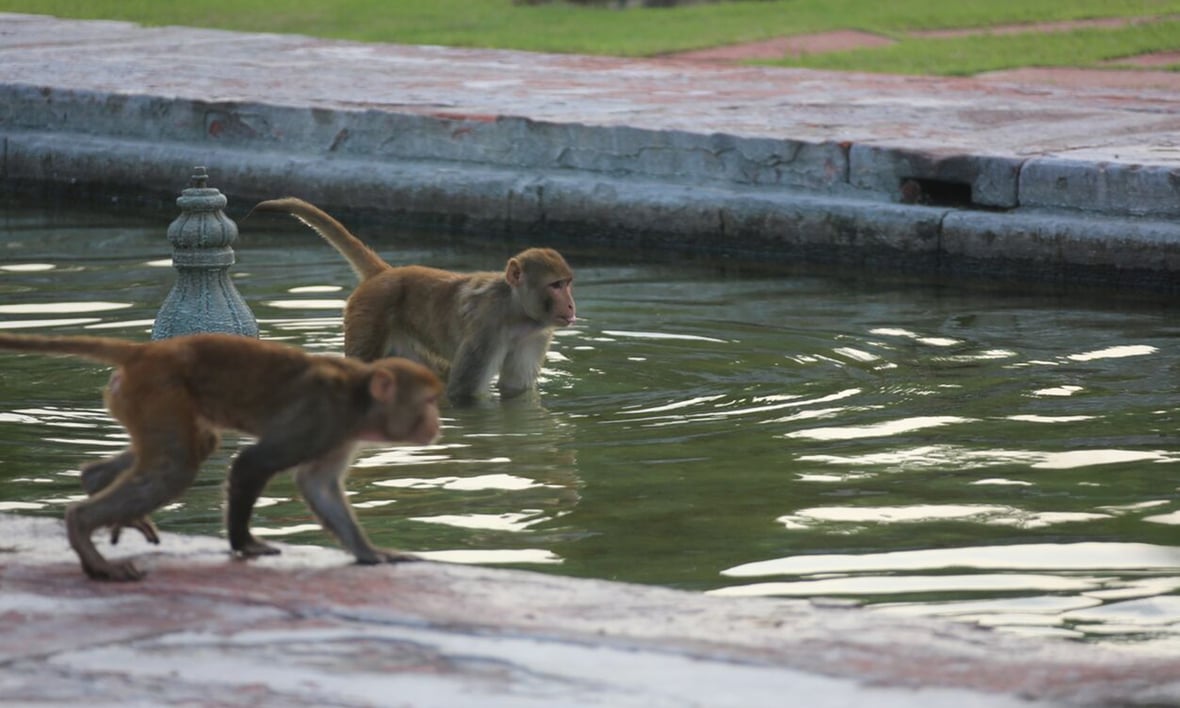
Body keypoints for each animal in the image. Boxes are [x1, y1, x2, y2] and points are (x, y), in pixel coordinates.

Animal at [0, 332, 443, 580]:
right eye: (428, 401)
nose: (437, 422)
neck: (358, 396)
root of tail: (145, 352)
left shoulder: (339, 435)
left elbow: (318, 486)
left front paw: (370, 553)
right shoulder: (319, 419)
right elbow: (252, 463)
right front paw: (244, 543)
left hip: (141, 396)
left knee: (186, 450)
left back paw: (96, 482)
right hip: (158, 390)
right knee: (176, 466)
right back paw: (86, 532)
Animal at [252, 198, 575, 403]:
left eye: (567, 284)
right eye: (556, 285)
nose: (571, 305)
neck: (515, 310)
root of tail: (385, 273)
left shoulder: (534, 335)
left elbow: (515, 389)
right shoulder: (487, 329)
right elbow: (463, 394)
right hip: (368, 314)